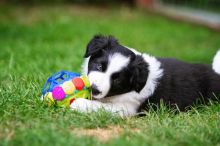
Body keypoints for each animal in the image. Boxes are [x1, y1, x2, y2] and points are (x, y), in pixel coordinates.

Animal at [70, 35, 220, 116]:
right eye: (100, 66)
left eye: (117, 79)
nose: (94, 90)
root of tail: (215, 72)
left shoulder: (127, 108)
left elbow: (101, 106)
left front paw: (78, 103)